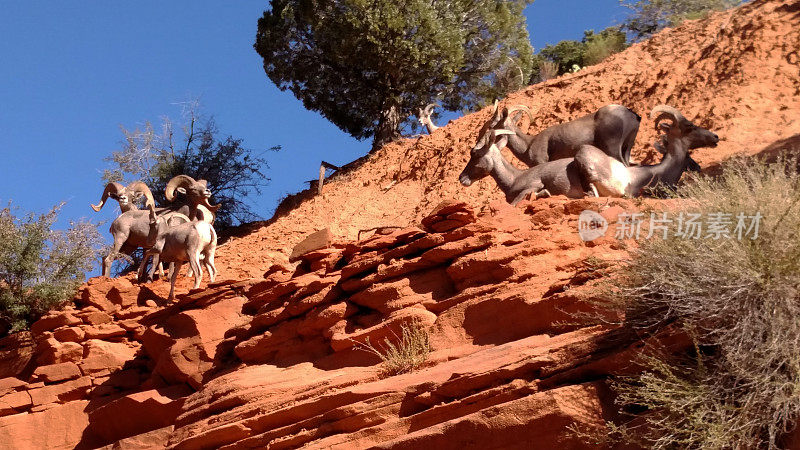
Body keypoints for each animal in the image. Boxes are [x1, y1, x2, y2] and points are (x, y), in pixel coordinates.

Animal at [476, 102, 644, 167]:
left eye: (491, 125)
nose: (479, 138)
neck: (528, 145)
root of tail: (631, 114)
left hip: (613, 148)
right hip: (627, 148)